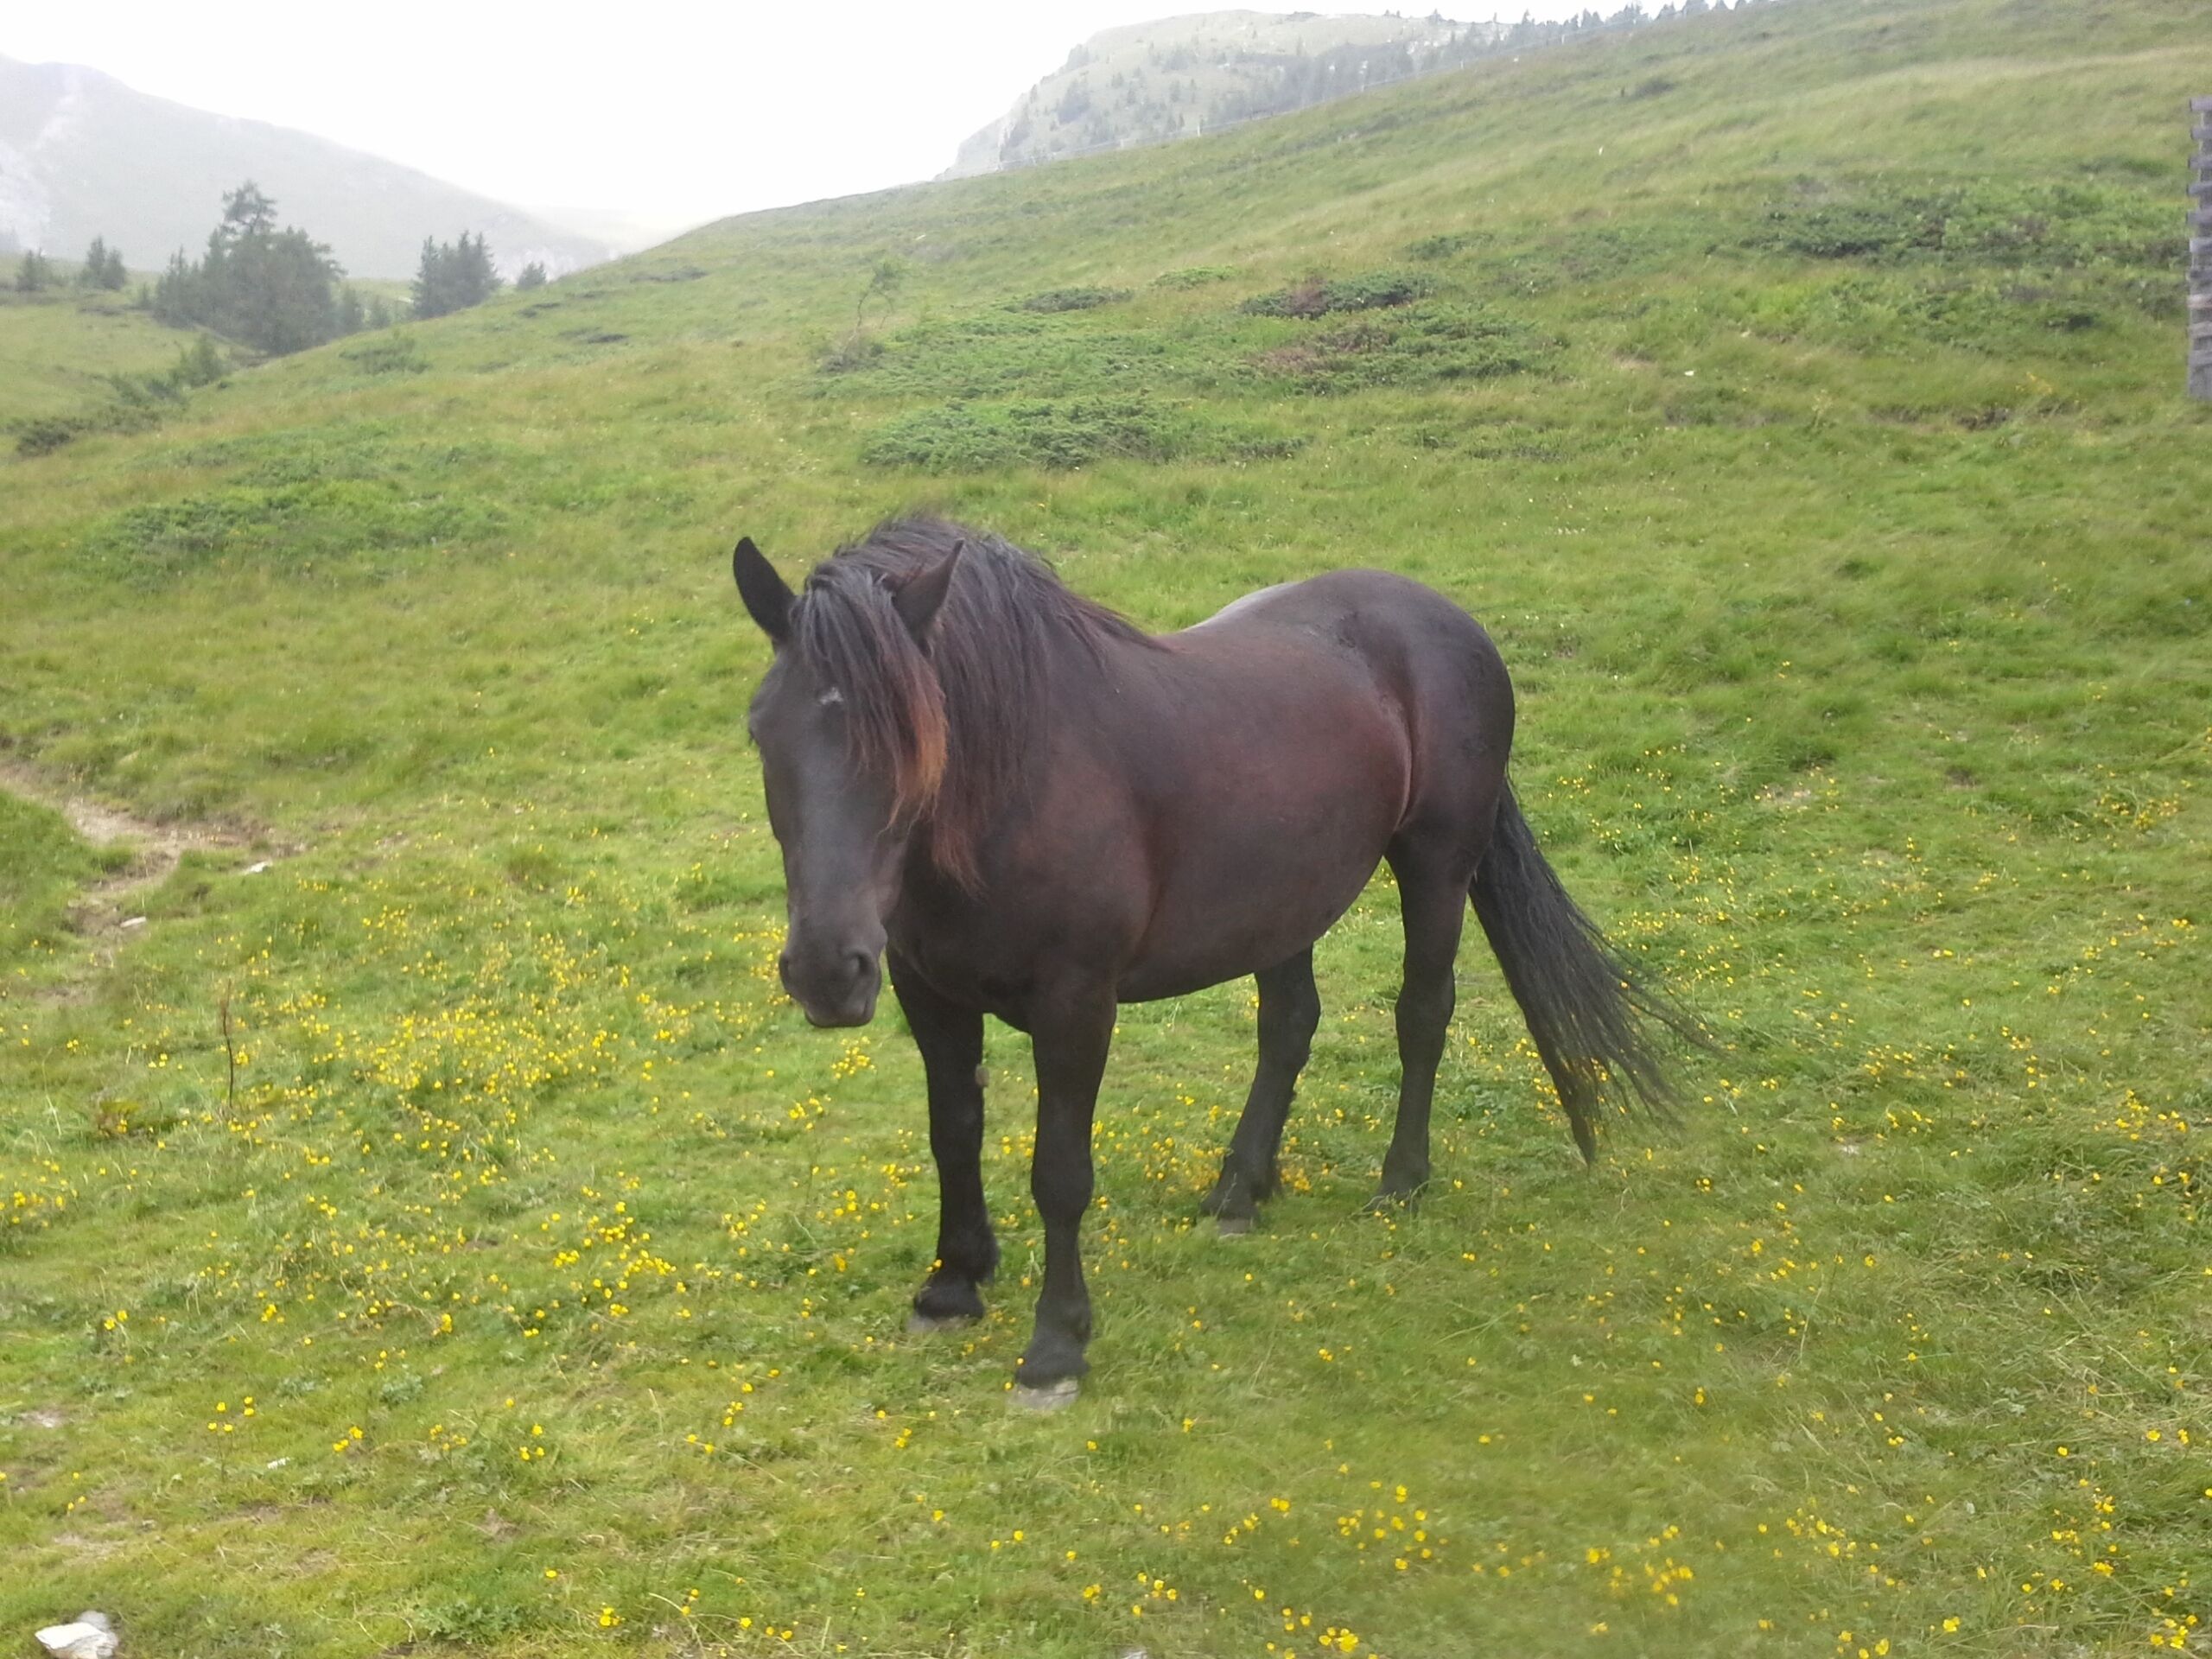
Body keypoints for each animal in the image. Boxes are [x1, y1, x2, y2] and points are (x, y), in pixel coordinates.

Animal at [731, 517, 1695, 1405]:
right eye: (762, 733)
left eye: (914, 739)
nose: (825, 971)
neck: (1019, 786)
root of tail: (1447, 618)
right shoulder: (927, 991)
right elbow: (952, 1135)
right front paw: (953, 1285)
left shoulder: (1076, 1002)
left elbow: (1059, 1172)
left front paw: (1056, 1346)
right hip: (1282, 903)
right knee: (1290, 1026)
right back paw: (1239, 1191)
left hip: (1435, 866)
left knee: (1422, 1013)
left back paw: (1399, 1184)